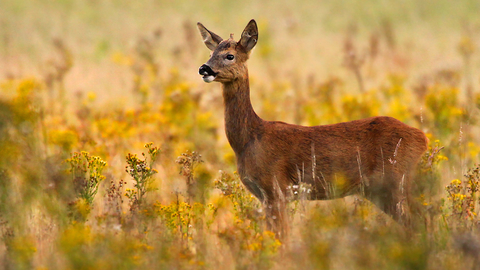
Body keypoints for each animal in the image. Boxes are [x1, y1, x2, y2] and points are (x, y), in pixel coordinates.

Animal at [197, 19, 430, 236]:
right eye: (210, 52)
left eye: (229, 56)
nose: (204, 68)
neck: (250, 139)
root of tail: (423, 137)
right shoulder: (266, 196)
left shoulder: (276, 188)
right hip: (380, 190)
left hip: (396, 180)